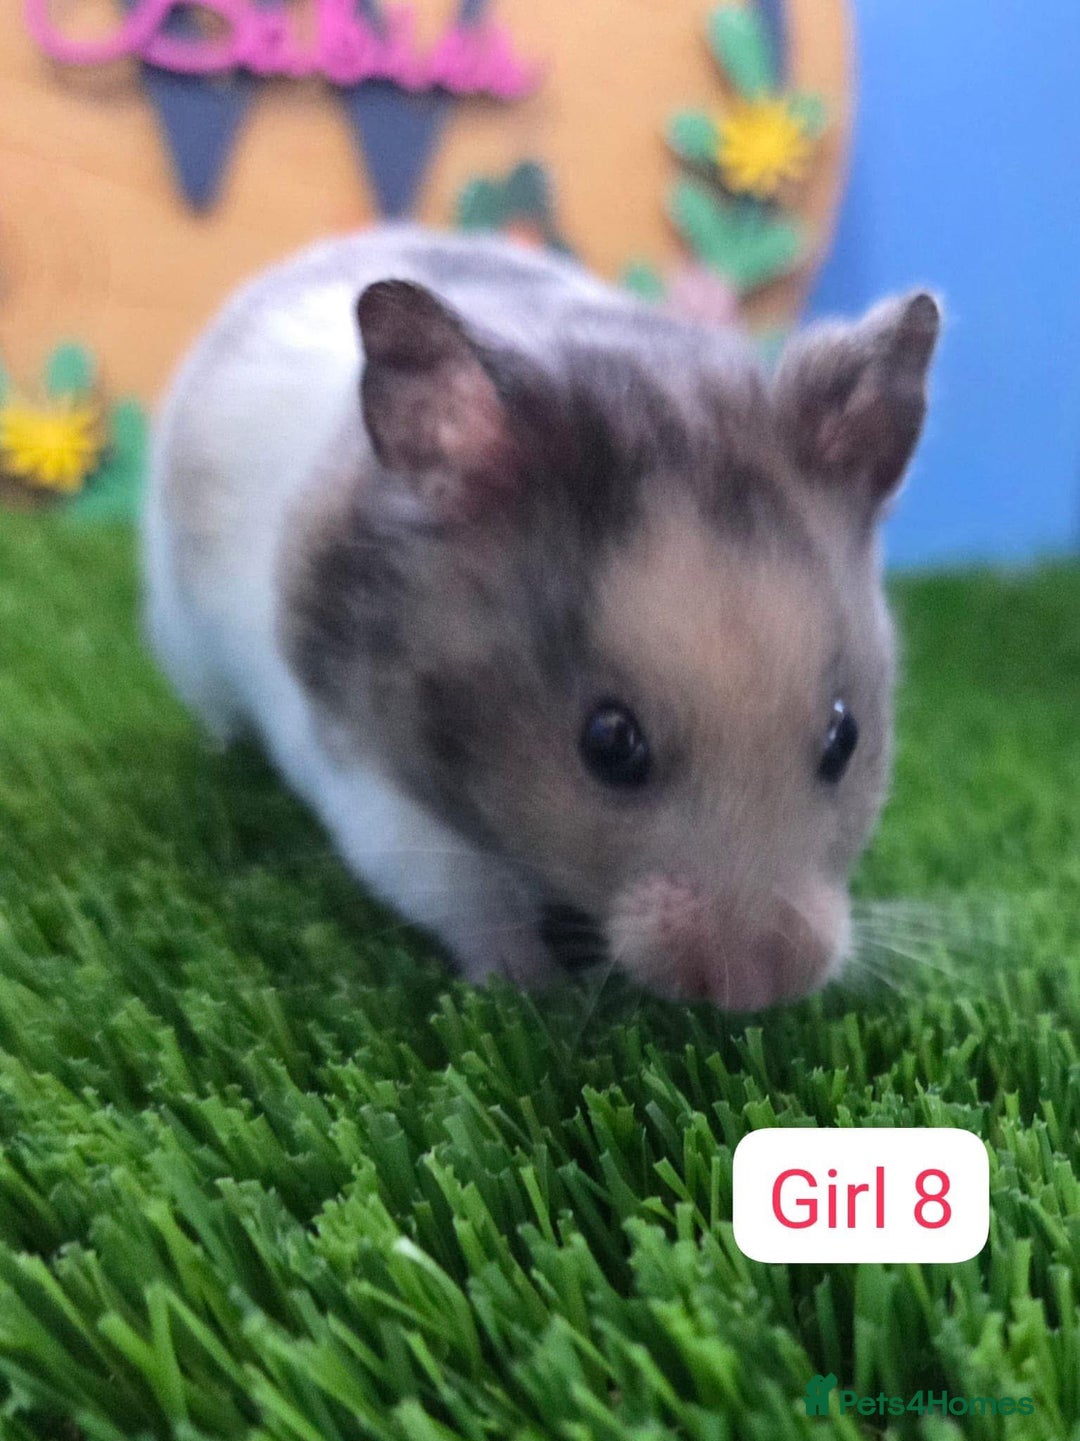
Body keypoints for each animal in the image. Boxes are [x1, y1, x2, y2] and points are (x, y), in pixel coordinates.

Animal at [143, 225, 939, 1009]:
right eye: (609, 743)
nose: (758, 990)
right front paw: (535, 992)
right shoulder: (376, 793)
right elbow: (471, 903)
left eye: (845, 736)